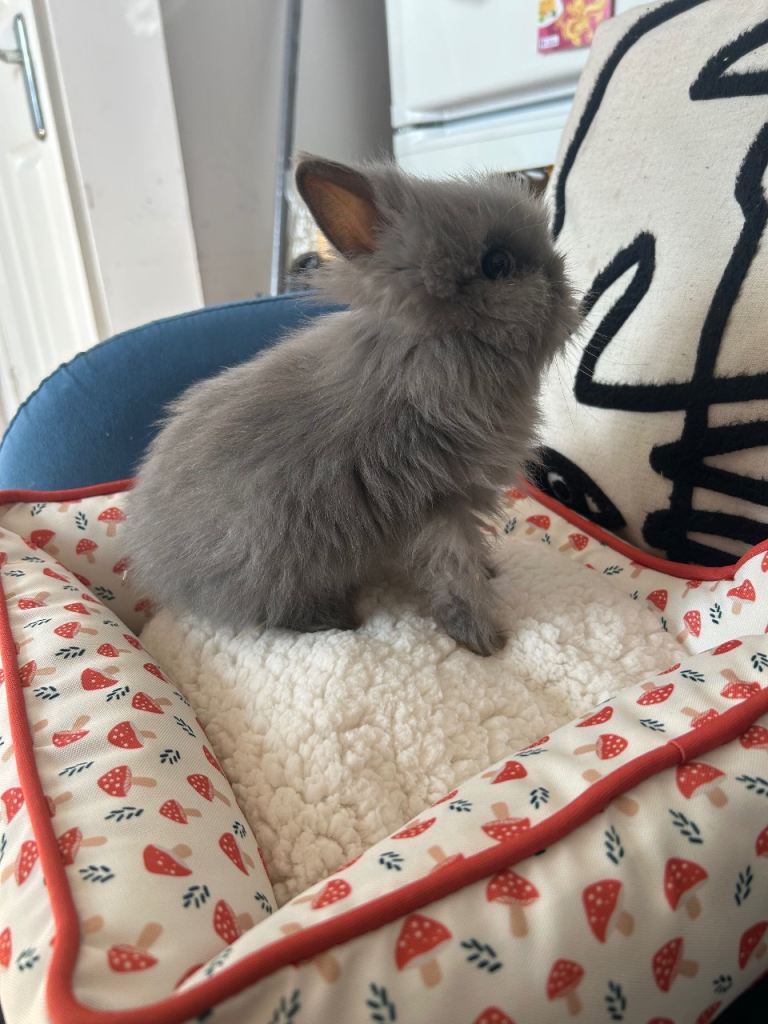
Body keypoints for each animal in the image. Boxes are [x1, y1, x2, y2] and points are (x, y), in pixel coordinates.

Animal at [123, 156, 578, 656]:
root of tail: (156, 570)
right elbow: (453, 571)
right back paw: (340, 622)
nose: (564, 284)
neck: (433, 349)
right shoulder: (439, 505)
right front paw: (485, 641)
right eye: (497, 263)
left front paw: (490, 575)